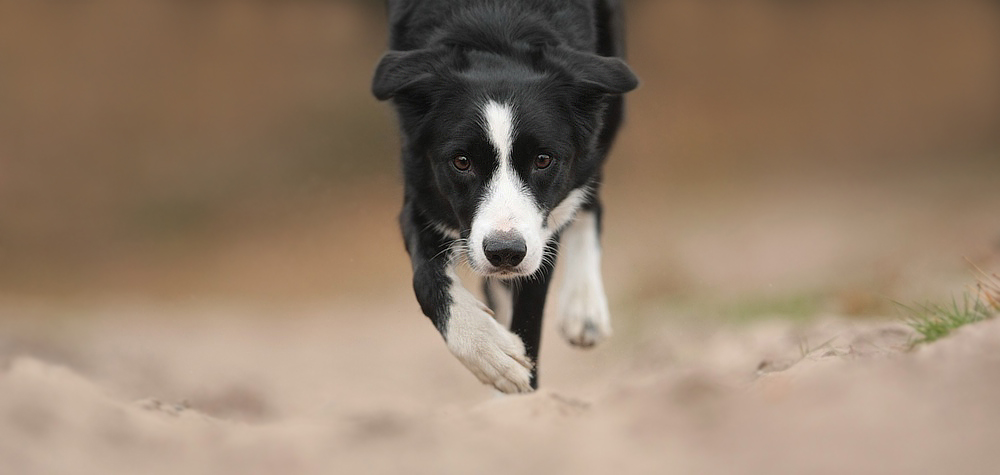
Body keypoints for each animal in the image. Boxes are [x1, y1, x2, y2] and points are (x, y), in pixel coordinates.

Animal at [372, 0, 636, 394]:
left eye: (543, 160)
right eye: (461, 161)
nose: (504, 253)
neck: (496, 30)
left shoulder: (537, 236)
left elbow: (528, 316)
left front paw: (525, 391)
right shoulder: (424, 187)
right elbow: (426, 280)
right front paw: (490, 350)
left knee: (589, 192)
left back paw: (583, 307)